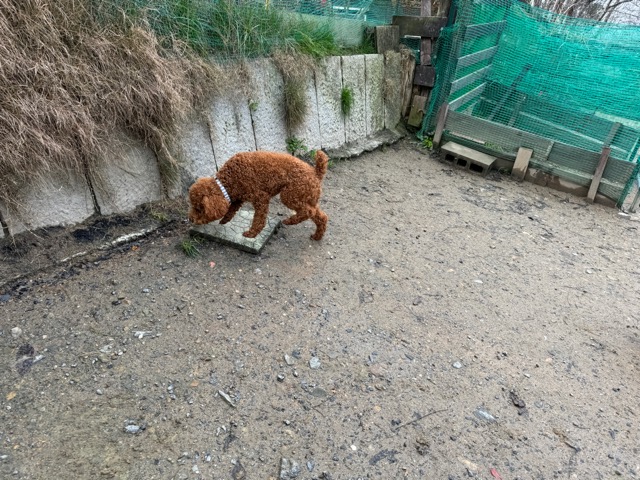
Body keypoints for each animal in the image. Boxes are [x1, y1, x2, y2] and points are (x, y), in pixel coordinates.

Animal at [188, 150, 329, 240]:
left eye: (199, 209)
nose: (190, 219)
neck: (229, 181)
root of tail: (315, 172)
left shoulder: (261, 198)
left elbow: (258, 219)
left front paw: (251, 234)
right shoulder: (238, 197)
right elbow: (231, 209)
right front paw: (224, 220)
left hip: (290, 195)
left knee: (308, 211)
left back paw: (289, 221)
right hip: (307, 197)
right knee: (321, 216)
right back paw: (317, 236)